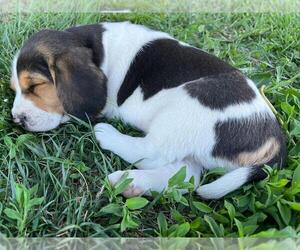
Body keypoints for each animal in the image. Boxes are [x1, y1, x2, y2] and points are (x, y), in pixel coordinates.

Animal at [9, 22, 286, 199]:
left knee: (151, 151)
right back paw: (131, 184)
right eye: (14, 89)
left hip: (185, 109)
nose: (17, 119)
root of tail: (274, 136)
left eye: (34, 86)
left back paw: (107, 135)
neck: (99, 50)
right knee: (186, 175)